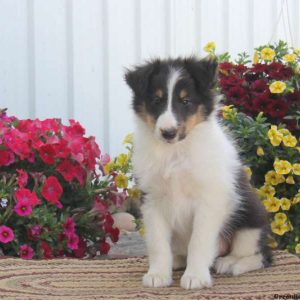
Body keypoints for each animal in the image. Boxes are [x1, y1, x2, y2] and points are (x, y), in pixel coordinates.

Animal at [124, 57, 272, 290]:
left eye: (186, 101)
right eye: (156, 100)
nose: (168, 133)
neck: (175, 152)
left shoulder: (209, 199)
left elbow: (199, 241)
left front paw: (195, 277)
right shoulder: (152, 199)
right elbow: (158, 243)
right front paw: (158, 274)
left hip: (251, 218)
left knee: (261, 255)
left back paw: (231, 263)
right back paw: (178, 261)